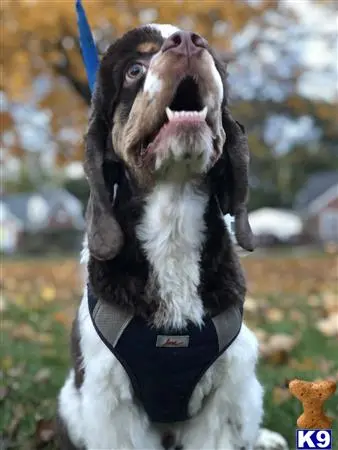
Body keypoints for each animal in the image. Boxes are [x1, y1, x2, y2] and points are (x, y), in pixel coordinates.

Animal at [56, 23, 278, 450]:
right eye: (134, 70)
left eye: (216, 65)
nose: (190, 42)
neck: (173, 217)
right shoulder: (112, 402)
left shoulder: (224, 394)